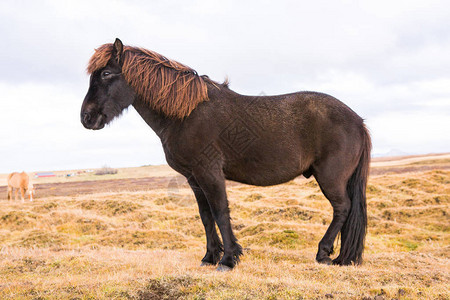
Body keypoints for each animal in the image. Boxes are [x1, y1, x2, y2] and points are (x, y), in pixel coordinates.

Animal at [81, 38, 372, 270]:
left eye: (106, 73)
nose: (86, 117)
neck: (186, 114)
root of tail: (358, 121)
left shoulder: (209, 173)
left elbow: (220, 211)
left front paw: (228, 259)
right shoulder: (194, 178)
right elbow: (206, 216)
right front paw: (210, 257)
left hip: (330, 178)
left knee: (342, 208)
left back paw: (324, 254)